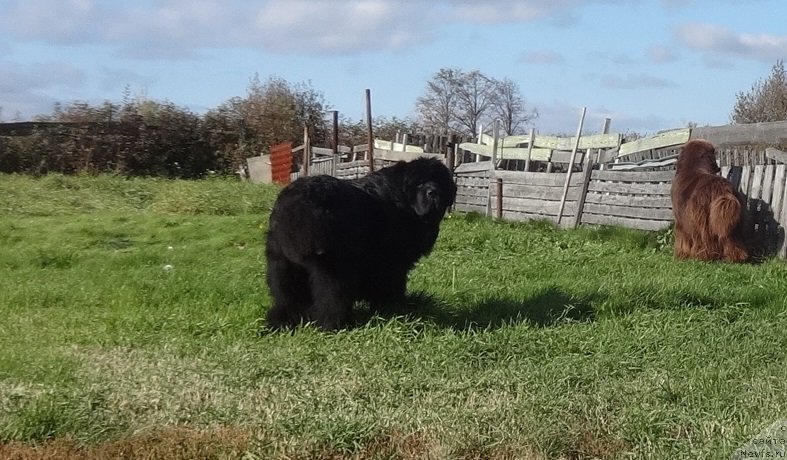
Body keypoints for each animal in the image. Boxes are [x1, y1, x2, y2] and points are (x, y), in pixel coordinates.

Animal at [268, 158, 458, 330]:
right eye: (419, 184)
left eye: (440, 182)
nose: (433, 192)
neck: (403, 202)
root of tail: (298, 199)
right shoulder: (391, 264)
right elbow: (391, 286)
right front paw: (395, 310)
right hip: (335, 268)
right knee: (332, 298)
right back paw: (336, 325)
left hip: (282, 265)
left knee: (287, 297)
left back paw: (282, 323)